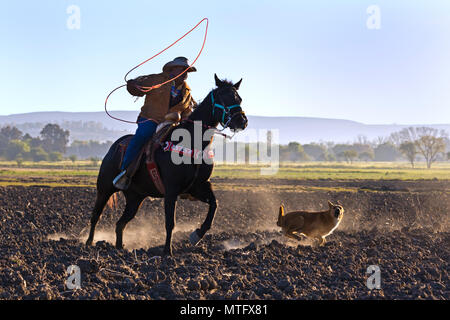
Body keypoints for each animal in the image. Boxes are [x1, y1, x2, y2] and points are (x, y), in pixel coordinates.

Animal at [85, 73, 248, 255]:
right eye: (223, 97)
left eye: (239, 98)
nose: (242, 121)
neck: (192, 143)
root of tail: (114, 147)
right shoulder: (171, 189)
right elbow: (170, 222)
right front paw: (166, 252)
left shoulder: (199, 186)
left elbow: (214, 205)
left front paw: (197, 235)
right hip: (104, 189)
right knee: (95, 215)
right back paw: (89, 243)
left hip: (135, 198)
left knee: (120, 223)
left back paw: (119, 248)